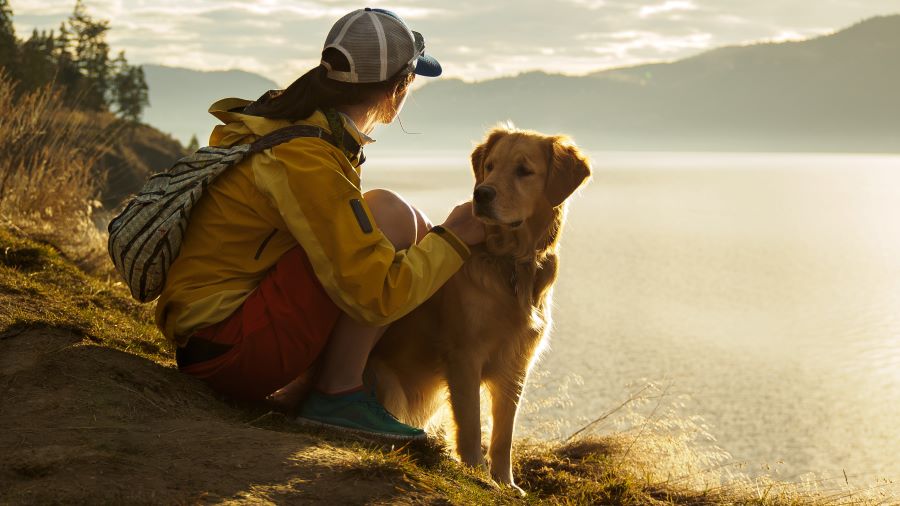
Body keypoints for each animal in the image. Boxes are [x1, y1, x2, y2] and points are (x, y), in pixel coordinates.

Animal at [366, 124, 592, 492]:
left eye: (524, 170)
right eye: (490, 166)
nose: (481, 195)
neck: (512, 263)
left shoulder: (516, 363)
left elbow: (504, 433)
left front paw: (506, 482)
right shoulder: (464, 355)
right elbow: (471, 423)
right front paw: (476, 473)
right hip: (388, 385)